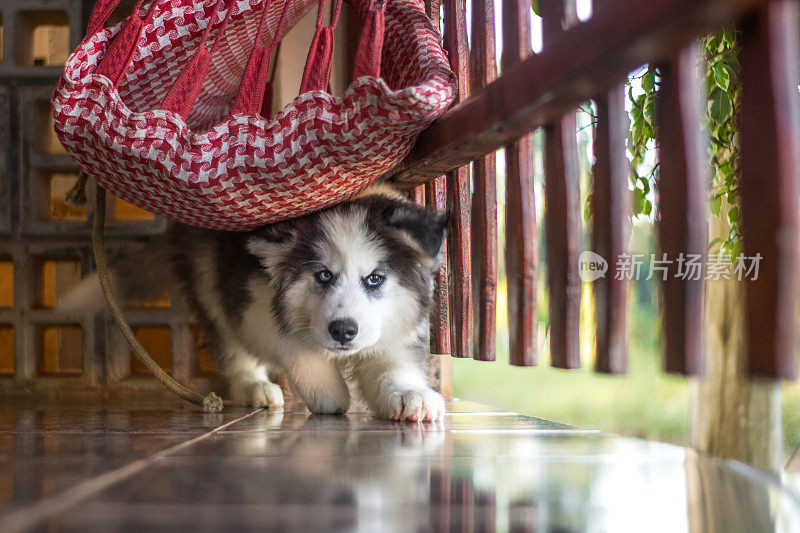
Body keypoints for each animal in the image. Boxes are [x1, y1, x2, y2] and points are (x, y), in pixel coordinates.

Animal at [61, 185, 450, 422]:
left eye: (375, 278)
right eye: (324, 275)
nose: (343, 331)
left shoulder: (397, 332)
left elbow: (395, 368)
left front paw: (411, 395)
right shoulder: (253, 305)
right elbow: (292, 345)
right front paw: (328, 392)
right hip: (211, 285)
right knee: (233, 350)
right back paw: (253, 386)